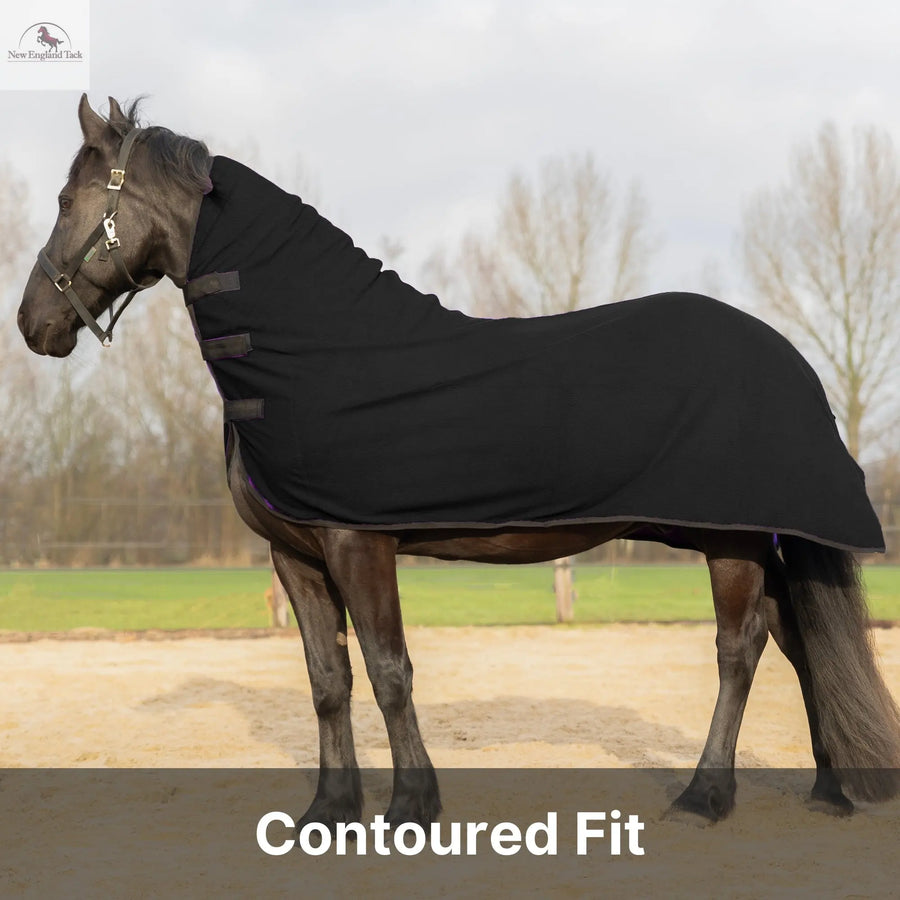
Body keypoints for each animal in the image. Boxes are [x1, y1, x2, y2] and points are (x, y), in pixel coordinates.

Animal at [18, 94, 900, 829]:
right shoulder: (294, 555)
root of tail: (792, 361)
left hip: (732, 543)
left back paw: (704, 797)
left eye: (66, 202)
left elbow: (388, 671)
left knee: (739, 651)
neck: (314, 348)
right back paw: (830, 791)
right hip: (752, 537)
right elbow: (327, 681)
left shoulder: (357, 543)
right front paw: (328, 811)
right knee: (797, 639)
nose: (32, 323)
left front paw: (412, 805)